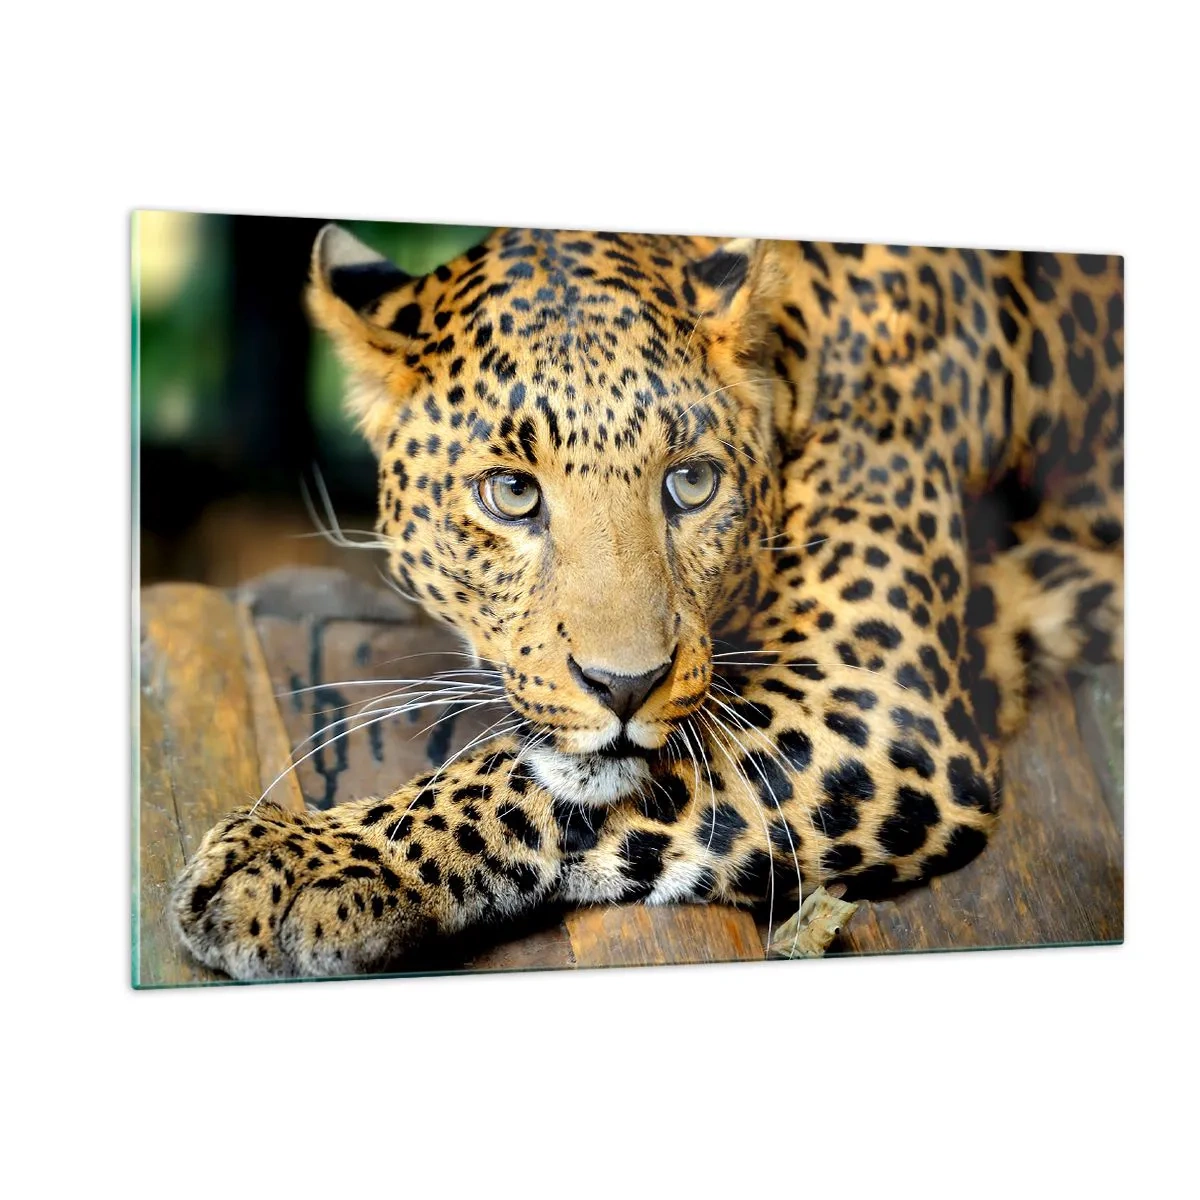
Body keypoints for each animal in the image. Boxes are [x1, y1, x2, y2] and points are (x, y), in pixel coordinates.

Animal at [171, 222, 1124, 980]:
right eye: (511, 493)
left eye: (691, 483)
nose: (625, 686)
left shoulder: (875, 704)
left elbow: (528, 780)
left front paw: (313, 861)